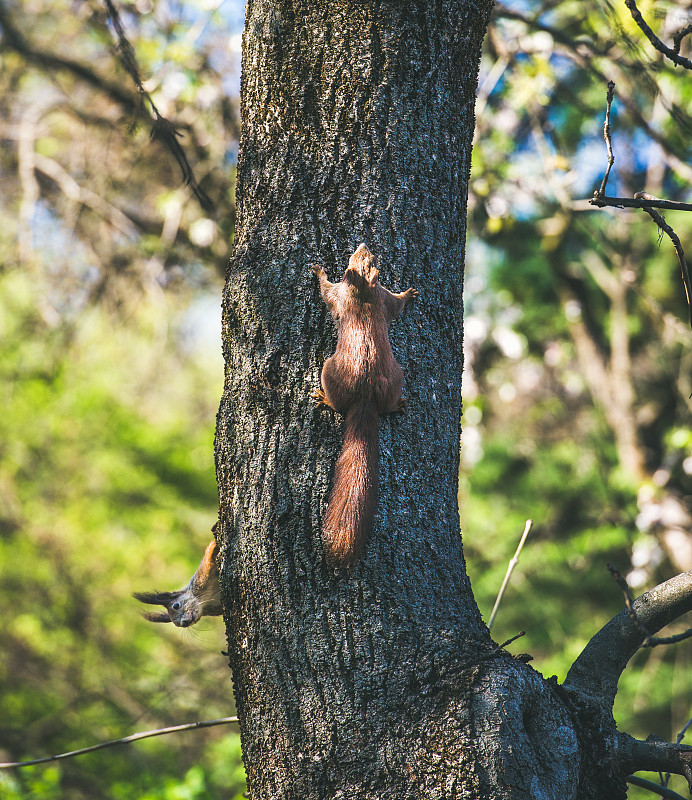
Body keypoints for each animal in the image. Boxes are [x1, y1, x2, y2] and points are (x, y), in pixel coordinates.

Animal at [312, 244, 416, 564]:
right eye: (365, 258)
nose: (363, 245)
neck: (364, 292)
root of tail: (366, 396)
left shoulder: (340, 295)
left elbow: (326, 292)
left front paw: (318, 271)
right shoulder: (383, 298)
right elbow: (396, 304)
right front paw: (409, 293)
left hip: (328, 371)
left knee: (337, 404)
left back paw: (323, 398)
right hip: (397, 377)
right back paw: (395, 406)